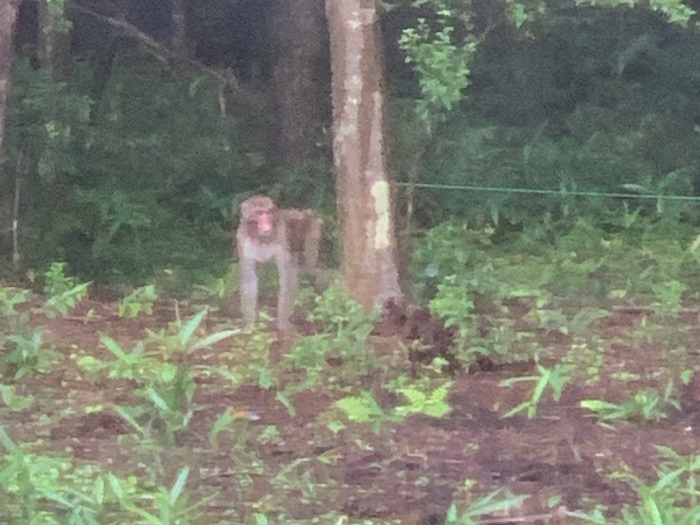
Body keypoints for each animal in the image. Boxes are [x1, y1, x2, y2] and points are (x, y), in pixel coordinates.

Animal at [235, 194, 322, 330]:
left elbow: (287, 279)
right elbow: (249, 281)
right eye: (259, 213)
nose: (267, 223)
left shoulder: (281, 236)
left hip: (312, 229)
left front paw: (282, 325)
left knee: (308, 269)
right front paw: (249, 326)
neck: (261, 238)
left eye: (268, 212)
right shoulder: (242, 239)